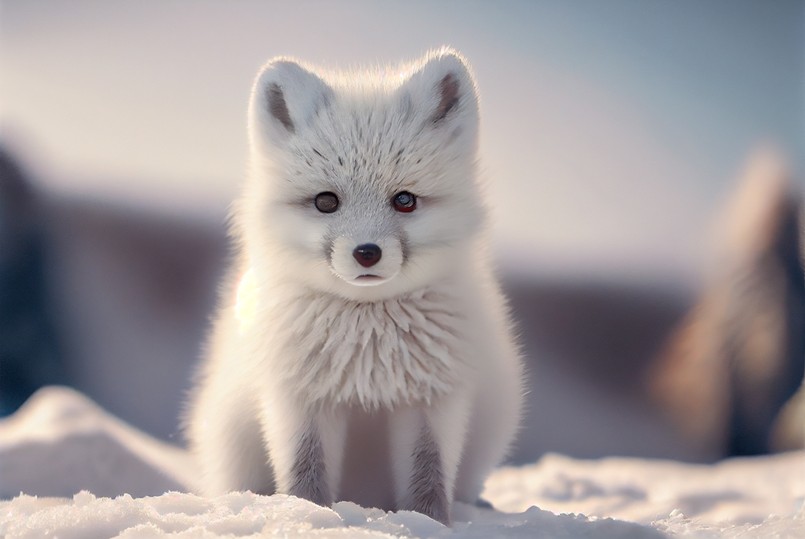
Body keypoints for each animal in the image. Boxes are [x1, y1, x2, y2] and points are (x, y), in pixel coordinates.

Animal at [186, 48, 524, 524]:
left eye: (405, 200)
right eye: (326, 201)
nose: (367, 252)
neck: (368, 341)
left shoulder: (432, 398)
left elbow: (429, 473)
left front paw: (430, 523)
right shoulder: (300, 398)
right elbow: (305, 474)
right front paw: (305, 517)